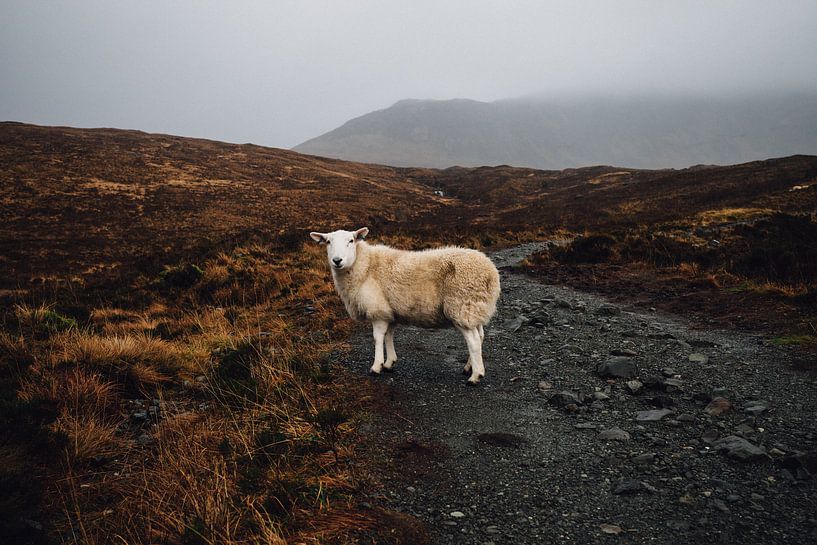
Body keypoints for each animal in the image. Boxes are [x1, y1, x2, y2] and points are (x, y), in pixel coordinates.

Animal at [306, 227, 498, 384]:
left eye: (351, 241)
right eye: (328, 242)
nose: (337, 260)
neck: (365, 265)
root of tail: (491, 273)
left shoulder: (378, 310)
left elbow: (378, 337)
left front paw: (376, 366)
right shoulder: (389, 311)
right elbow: (389, 336)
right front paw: (389, 362)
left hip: (461, 307)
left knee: (473, 341)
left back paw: (475, 376)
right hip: (475, 308)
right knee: (480, 336)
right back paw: (469, 367)